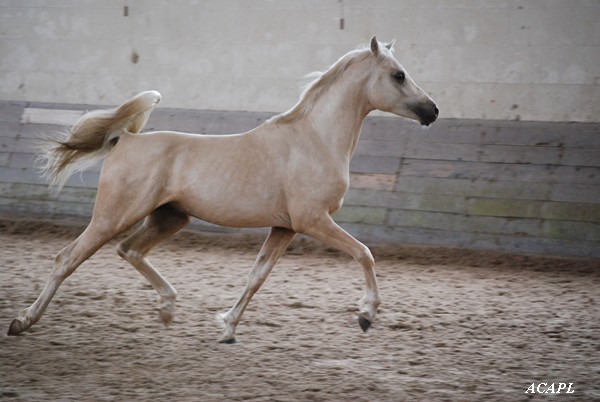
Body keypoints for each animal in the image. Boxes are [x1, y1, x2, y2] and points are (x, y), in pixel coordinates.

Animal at [5, 37, 436, 342]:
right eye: (398, 75)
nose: (432, 111)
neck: (314, 139)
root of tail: (124, 139)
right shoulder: (313, 221)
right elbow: (364, 253)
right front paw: (366, 315)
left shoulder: (285, 227)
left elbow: (256, 276)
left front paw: (227, 327)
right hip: (114, 216)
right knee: (67, 258)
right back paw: (22, 322)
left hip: (170, 218)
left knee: (130, 250)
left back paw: (167, 309)